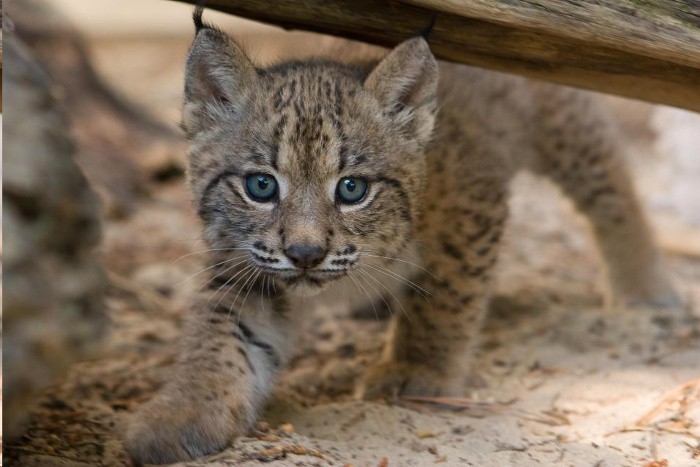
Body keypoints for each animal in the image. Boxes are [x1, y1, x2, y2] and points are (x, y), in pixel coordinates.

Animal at [127, 8, 680, 464]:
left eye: (352, 189)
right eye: (261, 186)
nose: (305, 254)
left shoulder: (469, 204)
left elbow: (444, 295)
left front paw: (420, 372)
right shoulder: (249, 261)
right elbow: (220, 332)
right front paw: (181, 412)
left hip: (558, 116)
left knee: (611, 183)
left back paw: (645, 287)